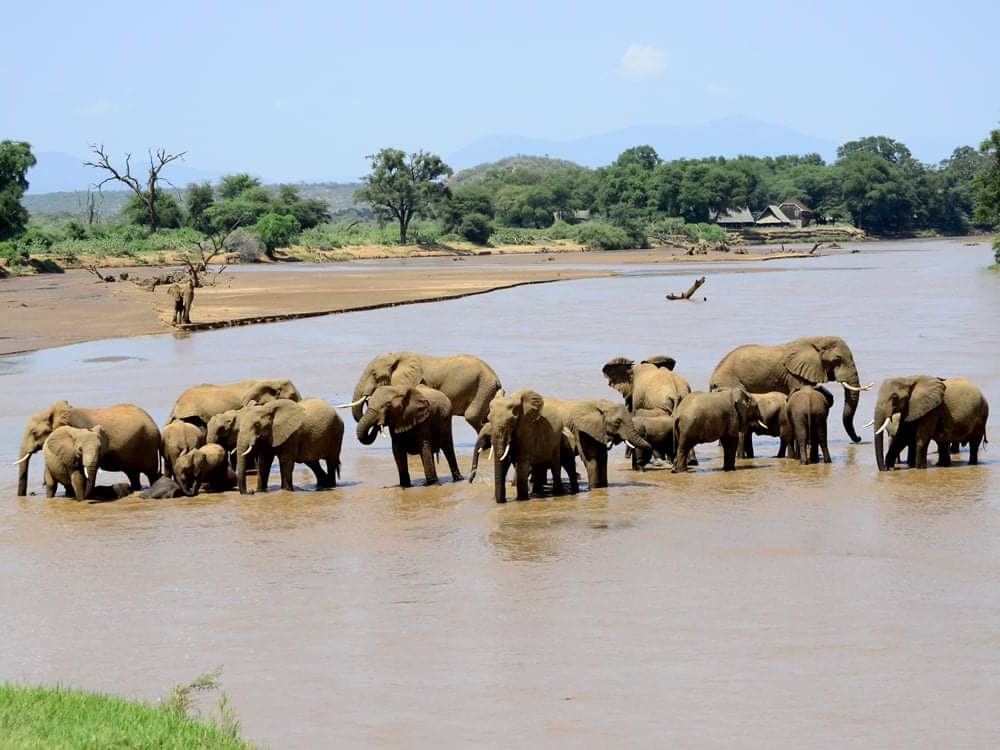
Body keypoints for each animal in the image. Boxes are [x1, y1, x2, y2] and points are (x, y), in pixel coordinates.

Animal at [16, 400, 161, 500]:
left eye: (34, 433)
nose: (26, 495)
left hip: (149, 444)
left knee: (151, 473)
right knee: (133, 473)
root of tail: (155, 425)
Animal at [346, 352, 504, 434]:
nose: (367, 398)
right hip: (486, 389)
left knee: (472, 416)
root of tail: (495, 378)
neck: (397, 355)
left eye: (374, 374)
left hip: (483, 387)